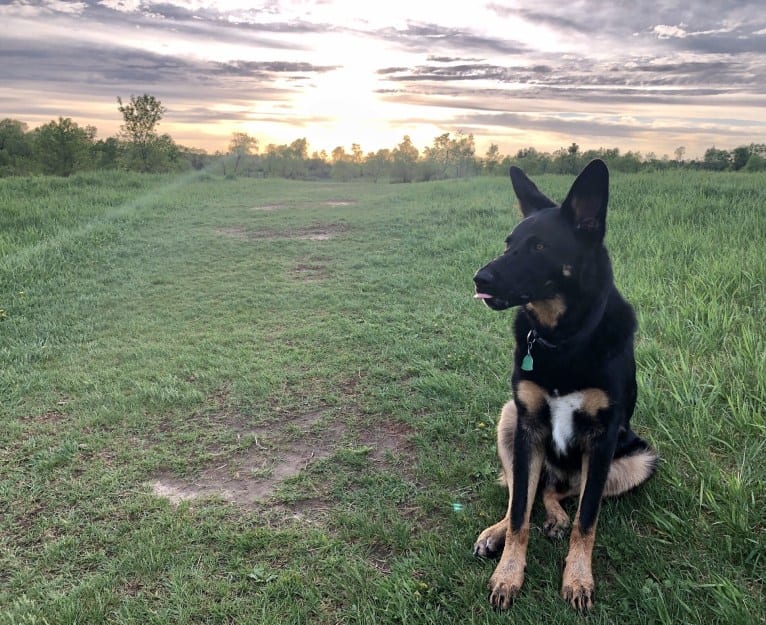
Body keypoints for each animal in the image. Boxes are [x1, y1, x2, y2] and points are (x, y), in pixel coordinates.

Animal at [474, 158, 660, 612]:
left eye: (540, 247)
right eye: (509, 243)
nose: (478, 278)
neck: (563, 339)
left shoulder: (603, 437)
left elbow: (586, 520)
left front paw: (578, 578)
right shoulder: (528, 426)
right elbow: (520, 513)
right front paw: (508, 574)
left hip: (637, 460)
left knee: (559, 493)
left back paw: (557, 517)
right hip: (509, 420)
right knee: (526, 494)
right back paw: (497, 530)